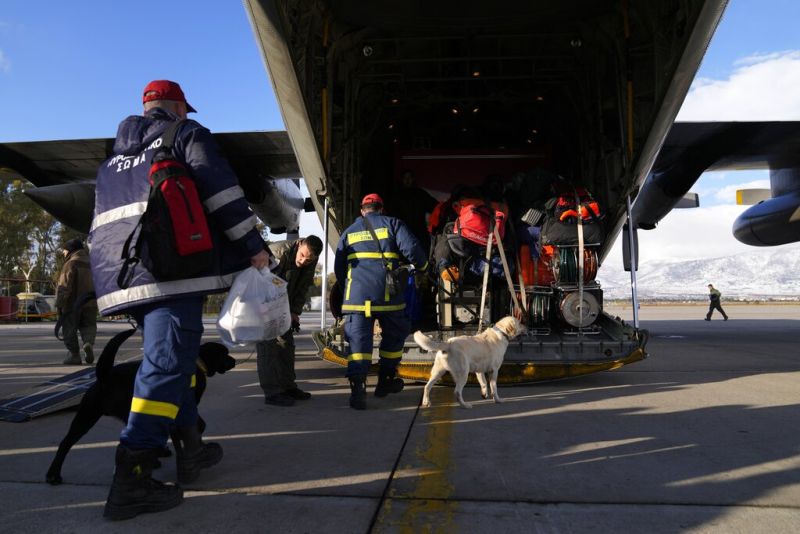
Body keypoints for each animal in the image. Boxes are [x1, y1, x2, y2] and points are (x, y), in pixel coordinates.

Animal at [46, 328, 234, 488]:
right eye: (224, 354)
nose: (233, 360)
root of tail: (105, 376)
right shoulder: (186, 407)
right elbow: (198, 425)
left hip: (92, 413)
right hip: (88, 416)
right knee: (65, 444)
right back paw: (53, 474)